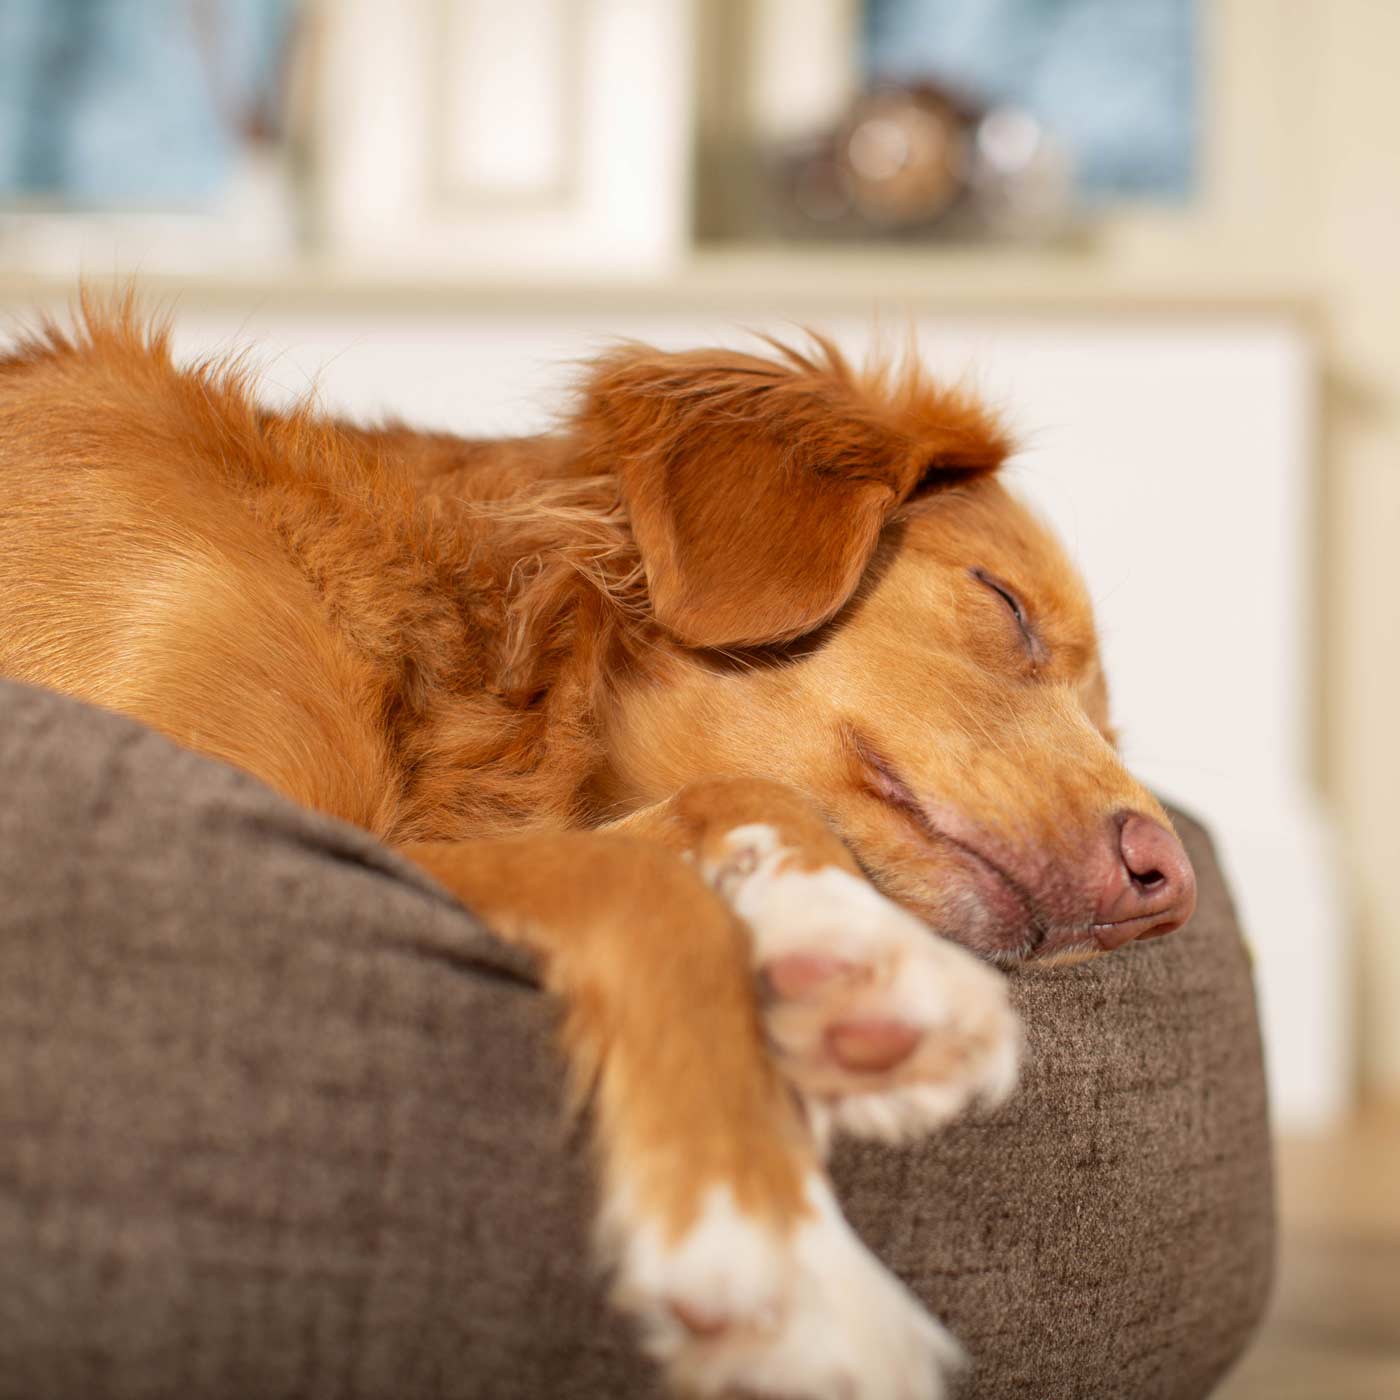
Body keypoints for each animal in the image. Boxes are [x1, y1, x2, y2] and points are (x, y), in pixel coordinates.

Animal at [2, 301, 1204, 1394]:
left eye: (1113, 733)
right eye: (1005, 604)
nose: (1169, 884)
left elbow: (724, 802)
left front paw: (853, 954)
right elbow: (638, 880)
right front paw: (780, 1255)